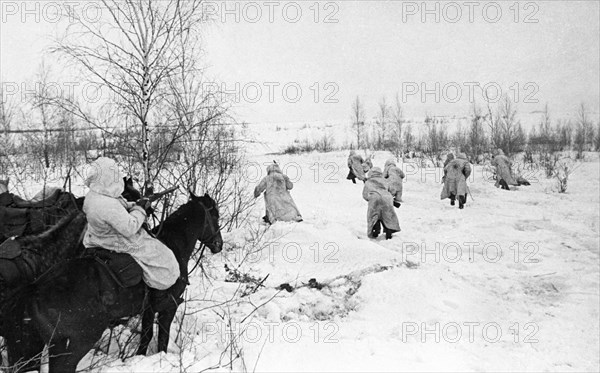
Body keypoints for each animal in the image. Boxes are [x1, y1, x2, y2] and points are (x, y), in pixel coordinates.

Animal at [5, 190, 223, 370]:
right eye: (216, 215)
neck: (174, 244)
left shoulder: (148, 309)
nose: (218, 244)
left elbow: (145, 337)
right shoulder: (169, 306)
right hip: (72, 347)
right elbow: (162, 339)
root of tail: (33, 290)